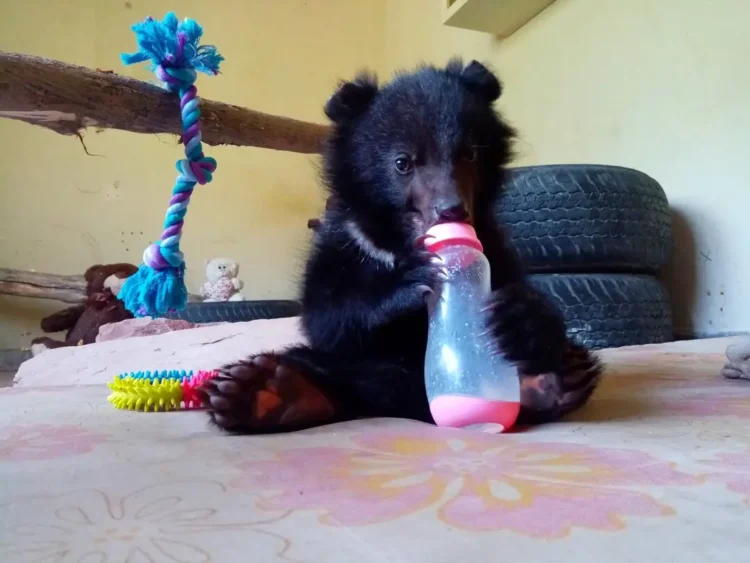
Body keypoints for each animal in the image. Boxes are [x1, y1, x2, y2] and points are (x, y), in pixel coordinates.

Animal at [199, 59, 603, 433]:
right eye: (402, 163)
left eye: (470, 154)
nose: (453, 210)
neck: (397, 238)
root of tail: (407, 401)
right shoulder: (342, 245)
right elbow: (328, 318)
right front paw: (413, 279)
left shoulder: (494, 244)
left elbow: (518, 290)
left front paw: (518, 314)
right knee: (324, 366)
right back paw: (262, 391)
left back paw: (557, 376)